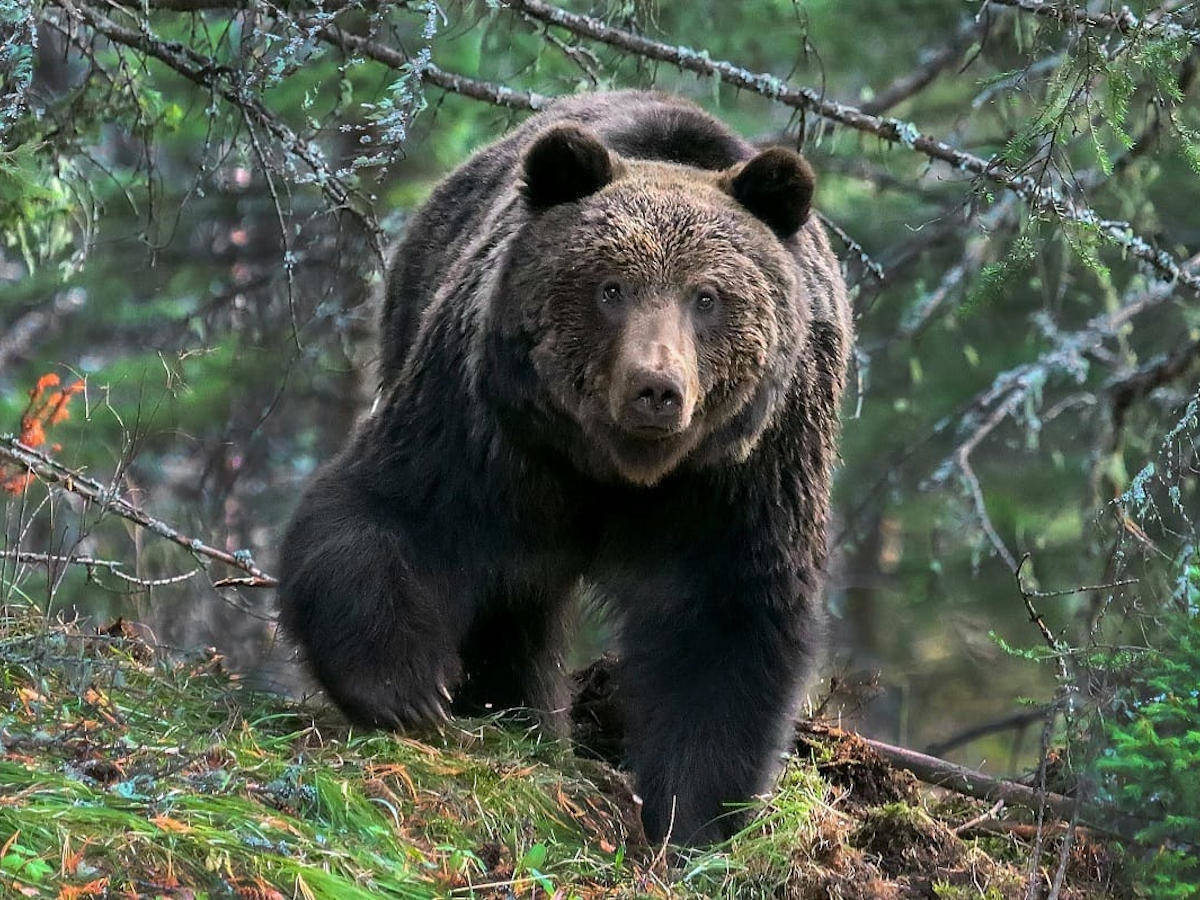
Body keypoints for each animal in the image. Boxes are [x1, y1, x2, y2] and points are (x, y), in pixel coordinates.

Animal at [278, 90, 852, 846]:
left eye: (707, 297)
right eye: (611, 287)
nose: (655, 388)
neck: (620, 471)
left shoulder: (745, 474)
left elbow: (727, 622)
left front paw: (693, 814)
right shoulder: (494, 428)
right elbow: (397, 513)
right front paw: (408, 691)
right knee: (514, 602)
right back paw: (515, 718)